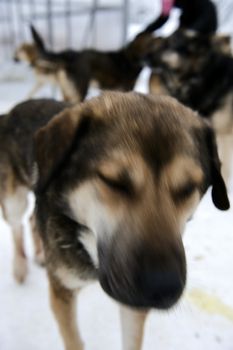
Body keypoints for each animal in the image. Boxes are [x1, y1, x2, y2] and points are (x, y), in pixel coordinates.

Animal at [0, 98, 69, 282]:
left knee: (32, 220)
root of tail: (8, 115)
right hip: (14, 200)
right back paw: (20, 267)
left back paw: (40, 255)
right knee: (17, 227)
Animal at [31, 91, 228, 350]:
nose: (162, 287)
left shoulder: (134, 307)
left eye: (187, 188)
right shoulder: (62, 292)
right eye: (114, 182)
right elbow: (74, 340)